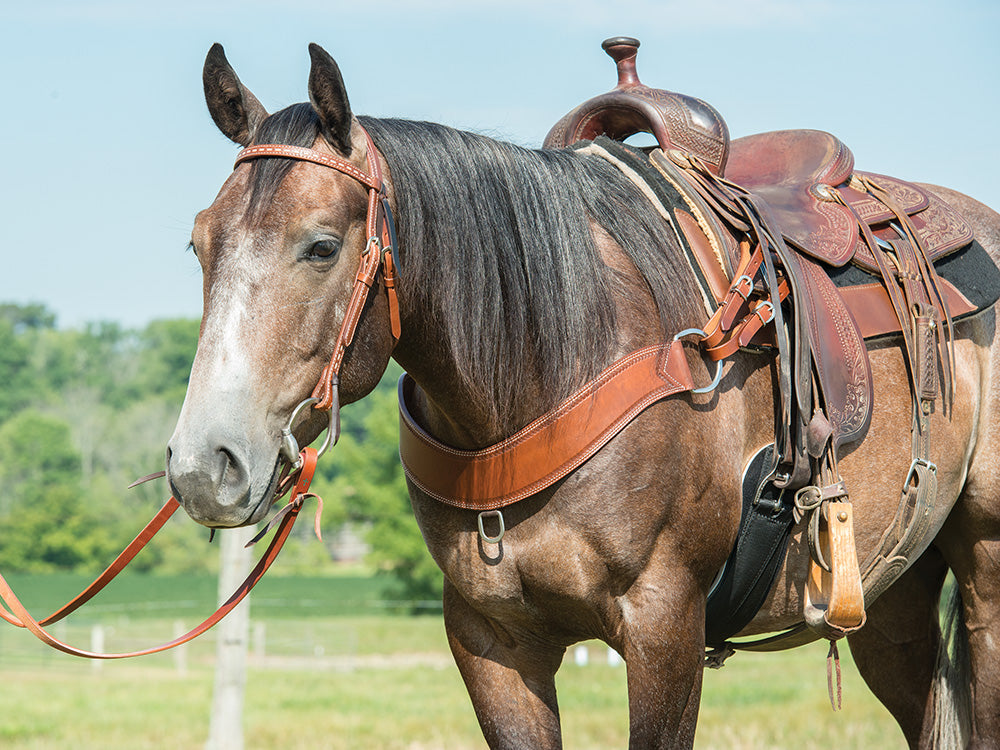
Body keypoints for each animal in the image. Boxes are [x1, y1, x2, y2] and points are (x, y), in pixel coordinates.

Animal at [168, 42, 1000, 750]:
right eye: (198, 244)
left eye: (321, 246)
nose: (206, 465)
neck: (551, 367)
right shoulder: (492, 642)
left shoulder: (664, 625)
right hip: (893, 598)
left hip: (986, 574)